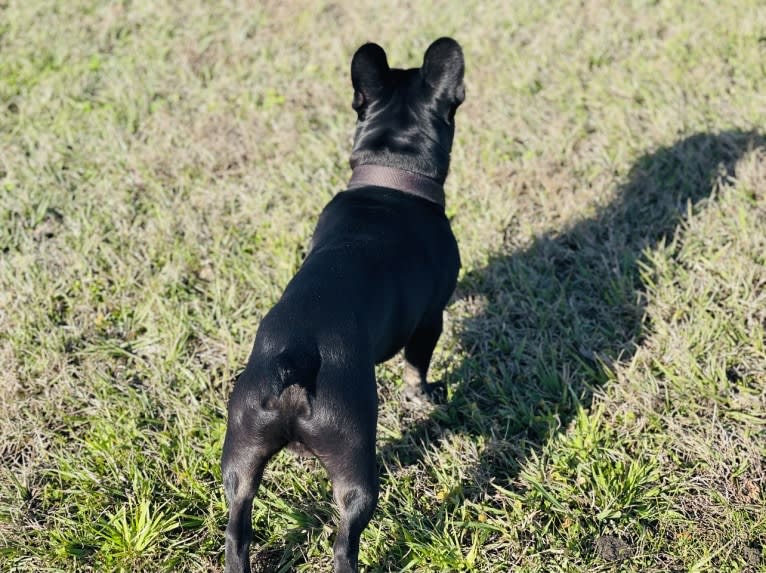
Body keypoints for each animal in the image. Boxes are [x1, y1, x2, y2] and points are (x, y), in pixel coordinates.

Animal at [219, 38, 464, 568]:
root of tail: (297, 360)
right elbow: (418, 364)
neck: (391, 176)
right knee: (343, 542)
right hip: (354, 465)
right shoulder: (430, 319)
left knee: (236, 529)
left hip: (241, 454)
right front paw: (424, 394)